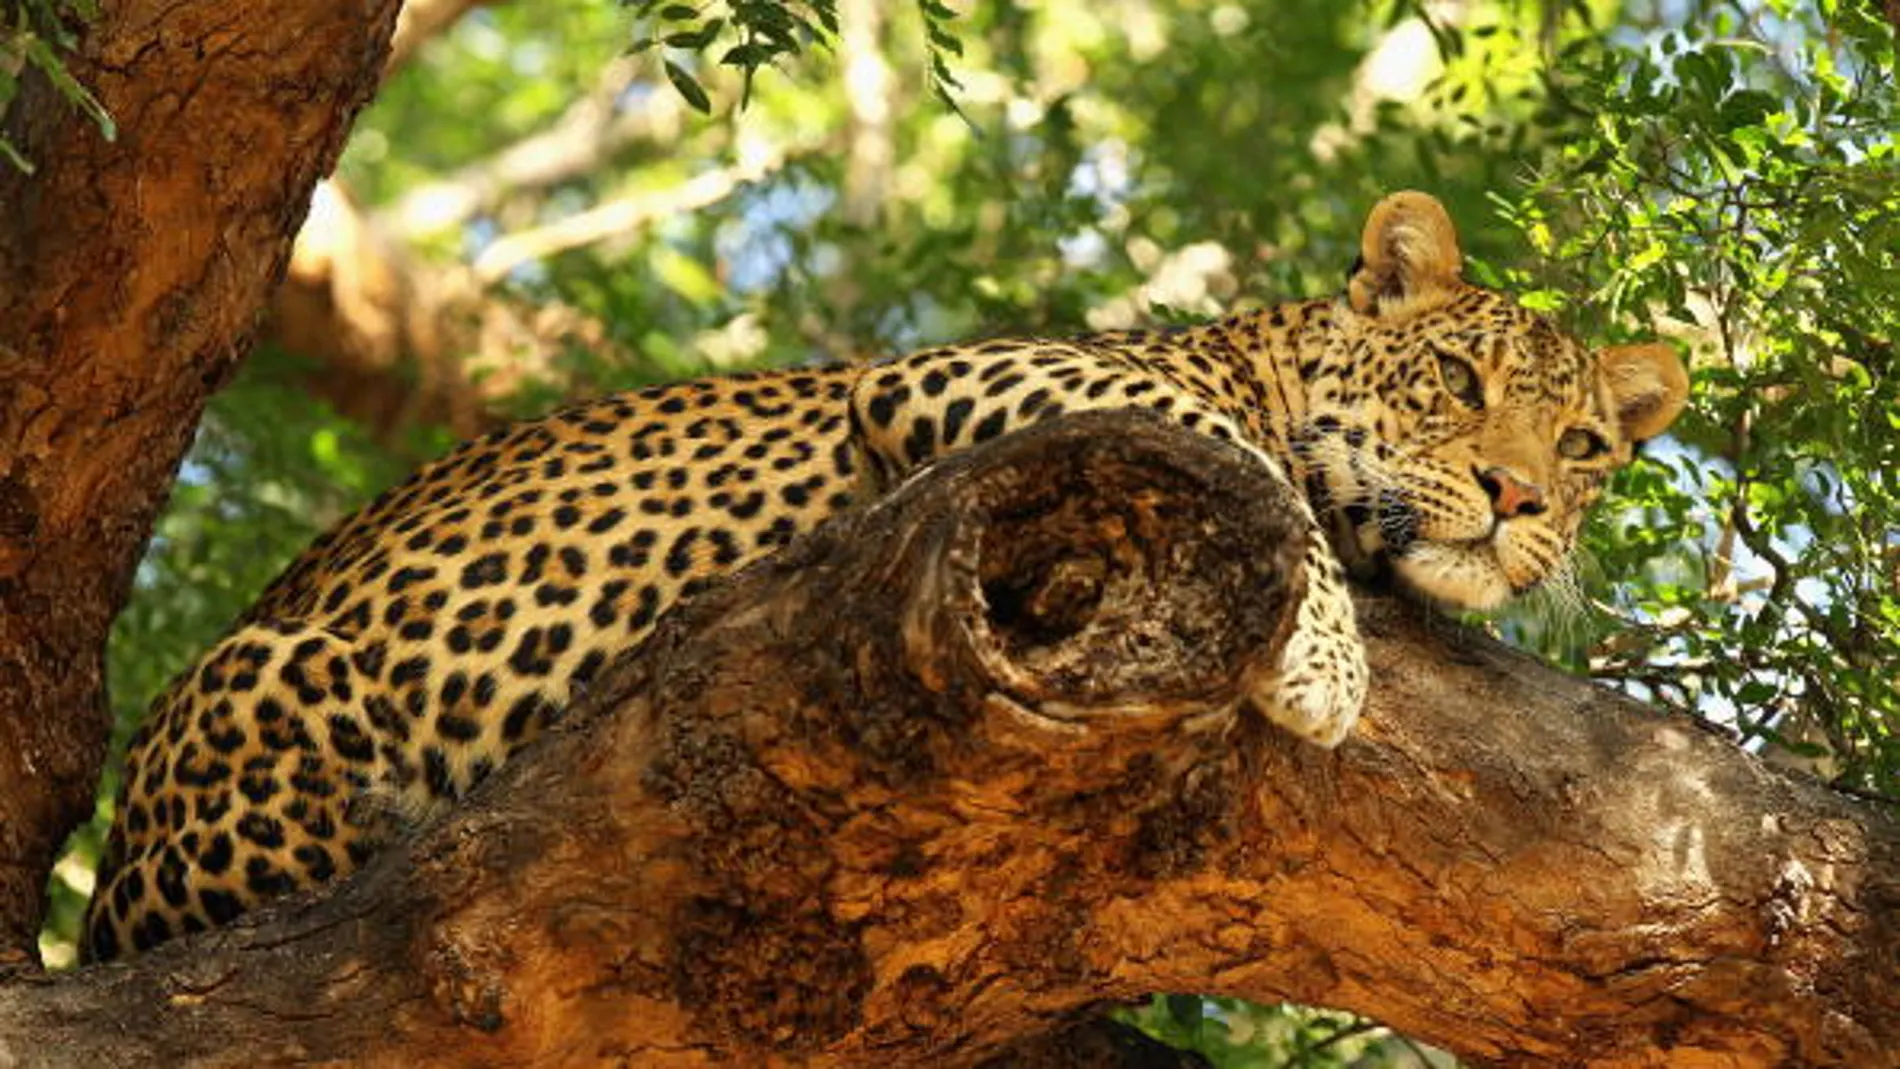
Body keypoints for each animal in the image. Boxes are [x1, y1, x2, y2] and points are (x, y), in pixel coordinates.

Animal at [81, 191, 1688, 962]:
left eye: (1584, 443)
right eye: (1459, 380)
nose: (1520, 496)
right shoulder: (983, 373)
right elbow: (1237, 457)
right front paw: (1327, 661)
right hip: (267, 686)